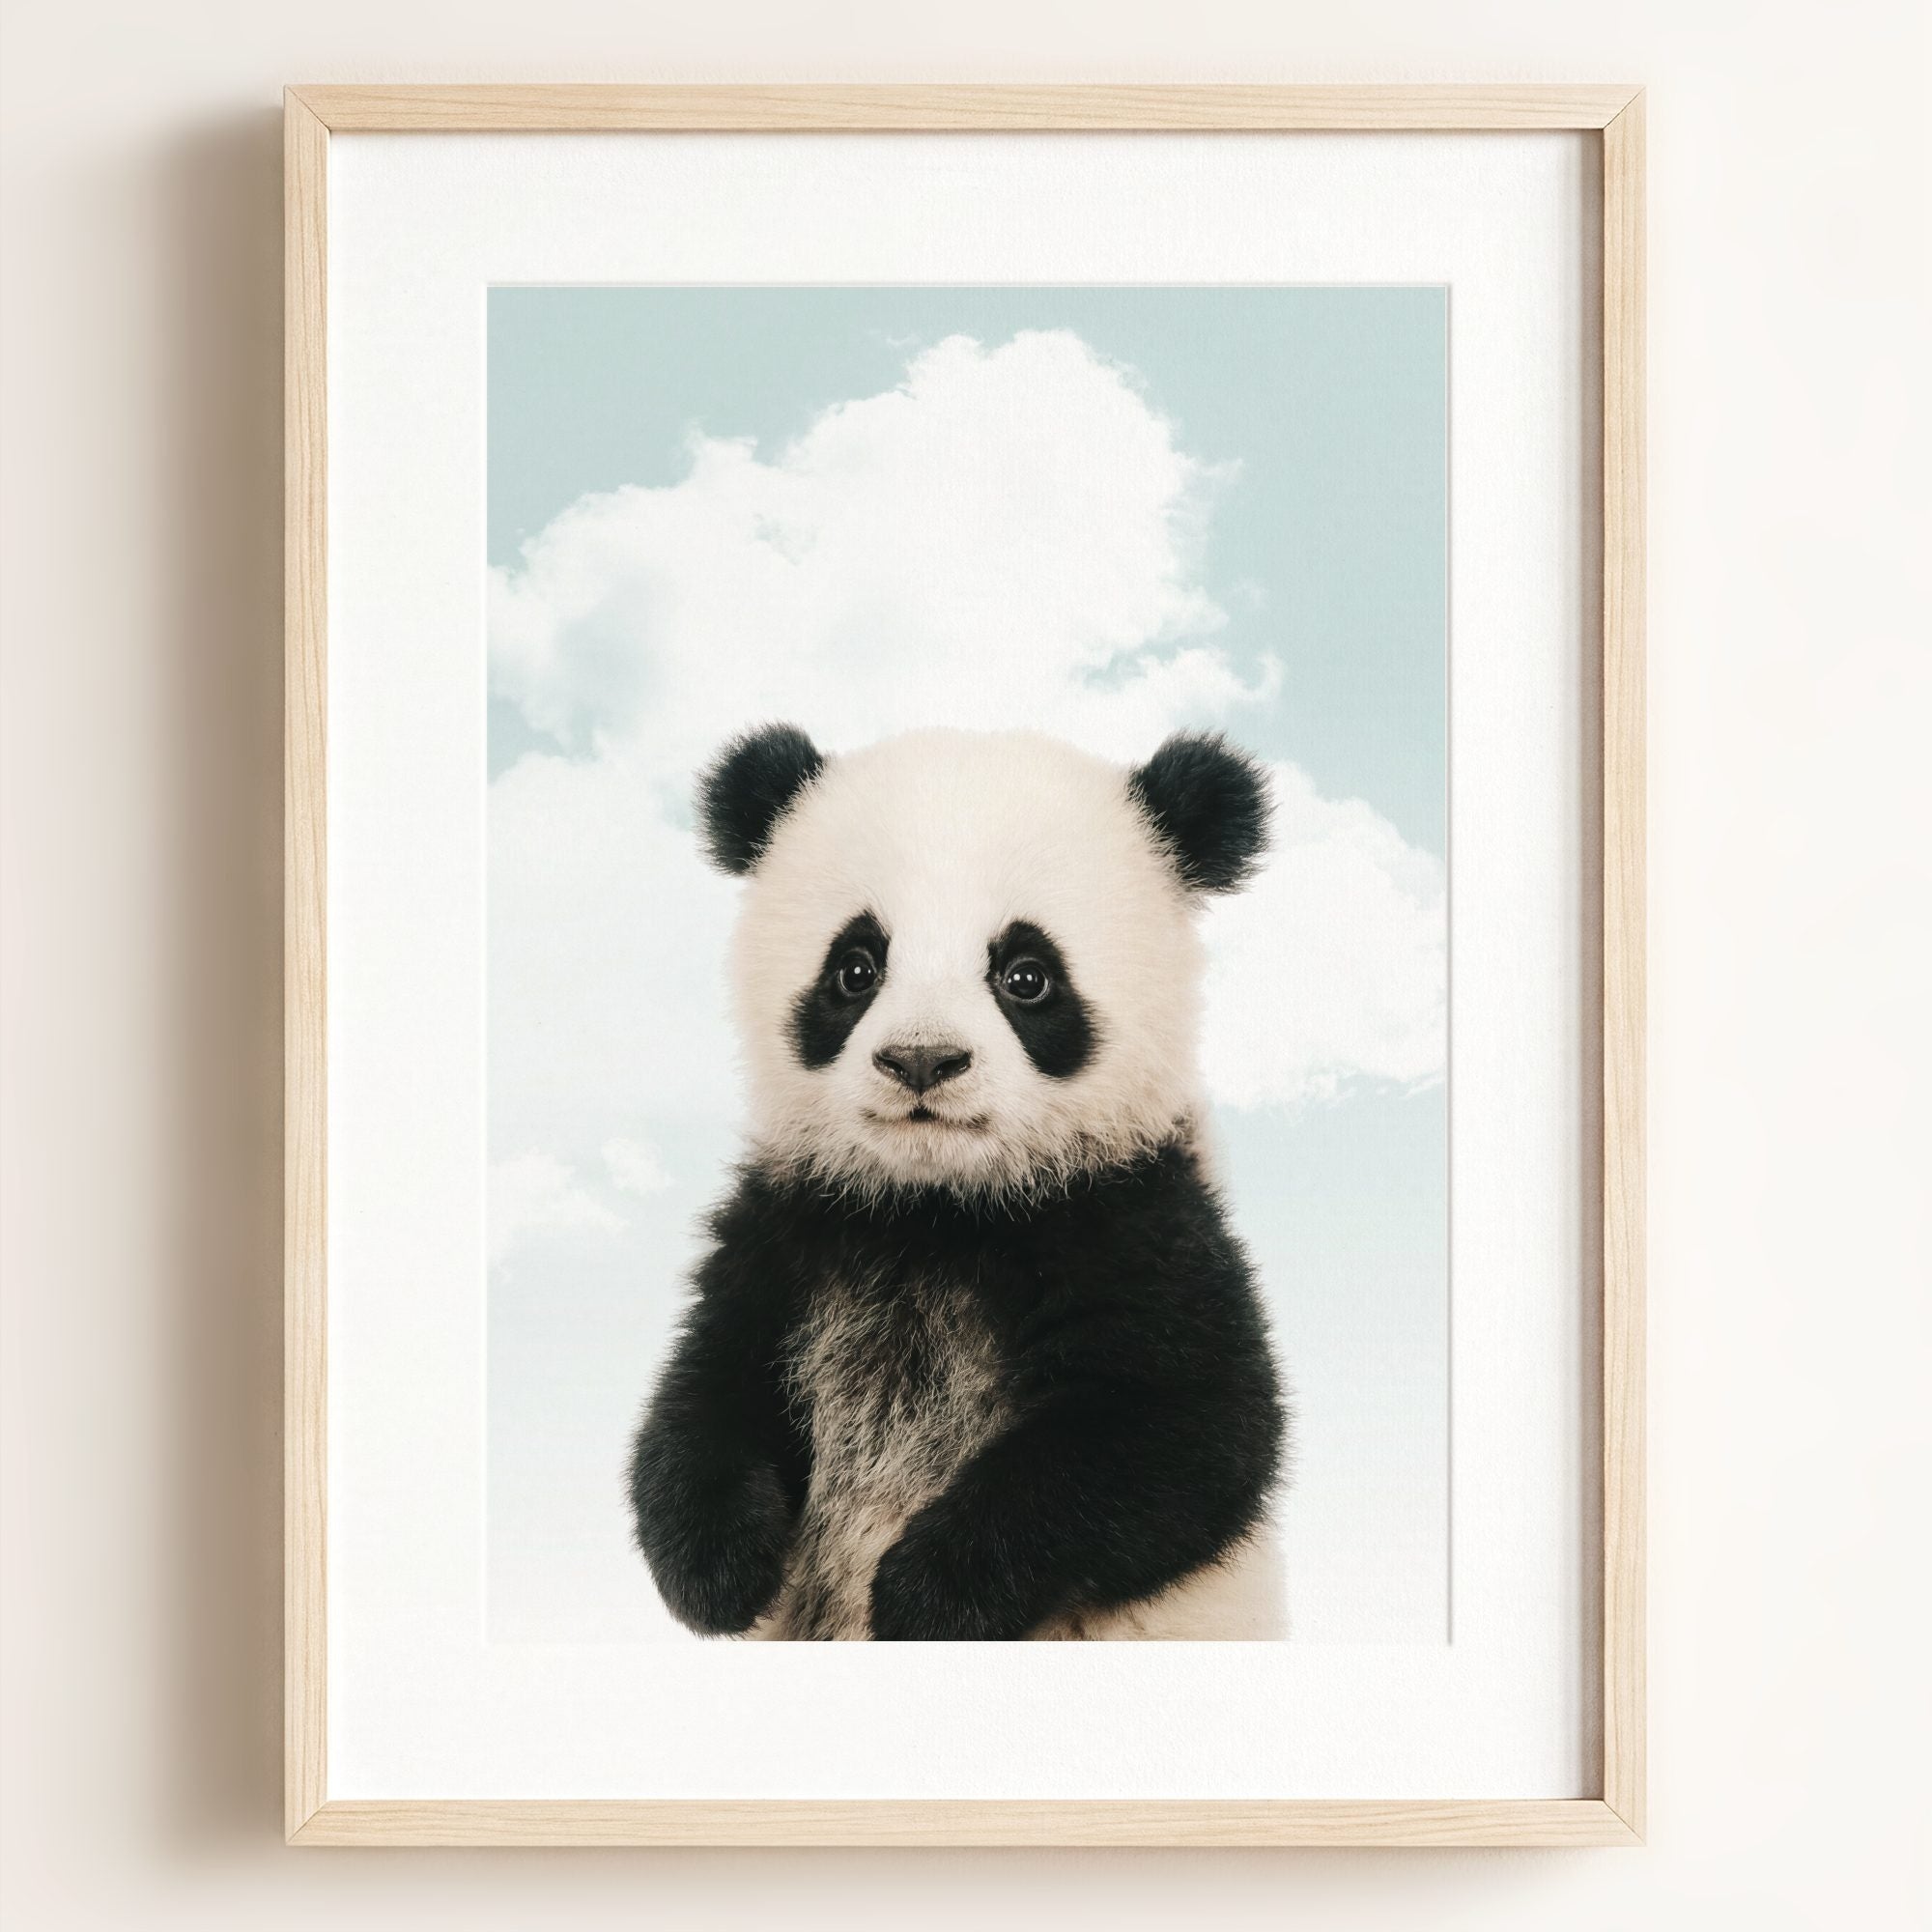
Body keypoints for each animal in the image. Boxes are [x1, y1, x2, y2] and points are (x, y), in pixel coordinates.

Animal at [627, 723, 1288, 1641]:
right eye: (856, 968)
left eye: (1026, 975)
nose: (921, 1060)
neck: (938, 1208)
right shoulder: (792, 1226)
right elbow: (710, 1388)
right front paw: (719, 1568)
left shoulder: (1135, 1219)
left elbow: (1183, 1432)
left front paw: (927, 1593)